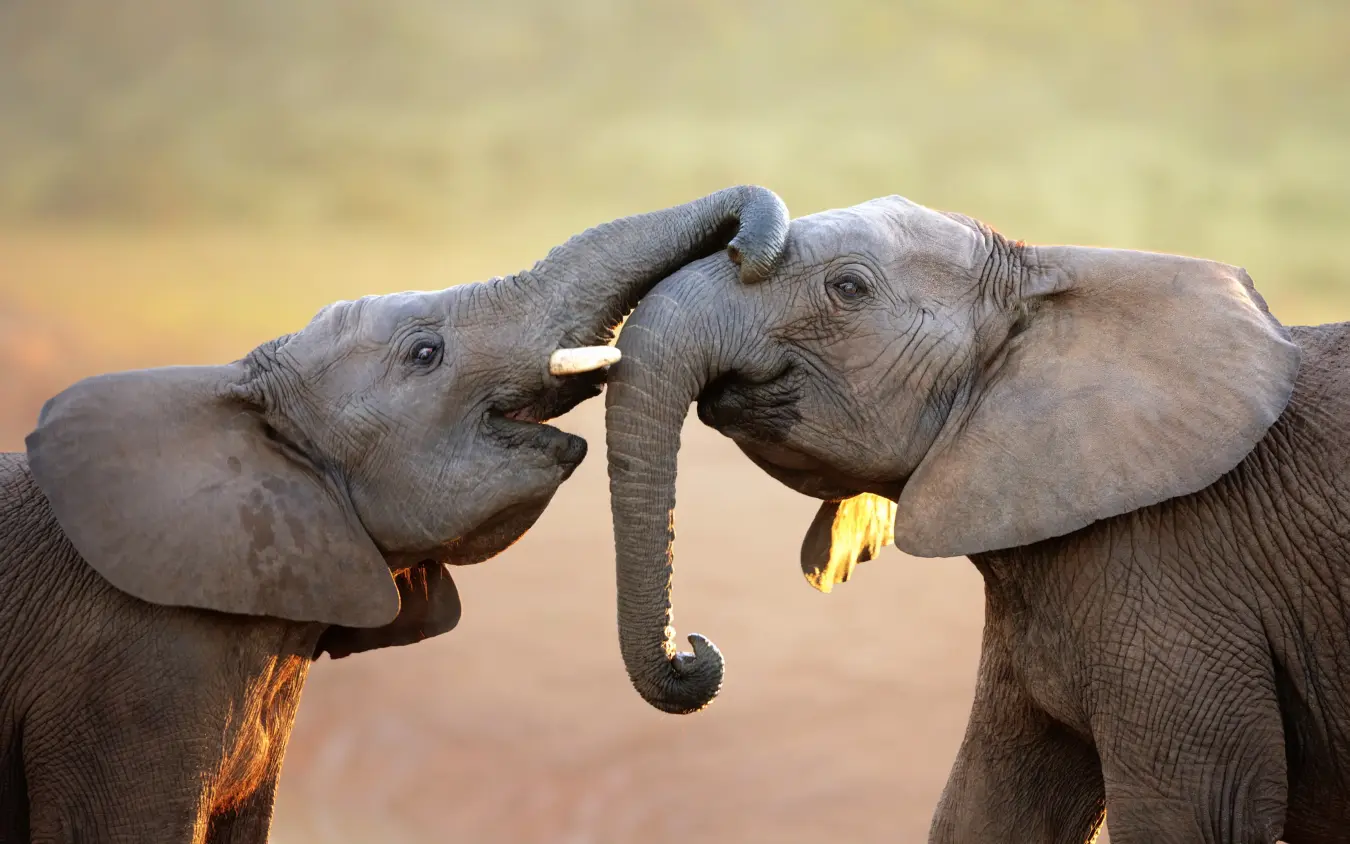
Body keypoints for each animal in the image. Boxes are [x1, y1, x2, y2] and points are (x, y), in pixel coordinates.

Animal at [600, 193, 1350, 843]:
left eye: (848, 288)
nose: (694, 651)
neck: (1045, 276)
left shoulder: (1176, 570)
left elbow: (1194, 816)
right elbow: (989, 808)